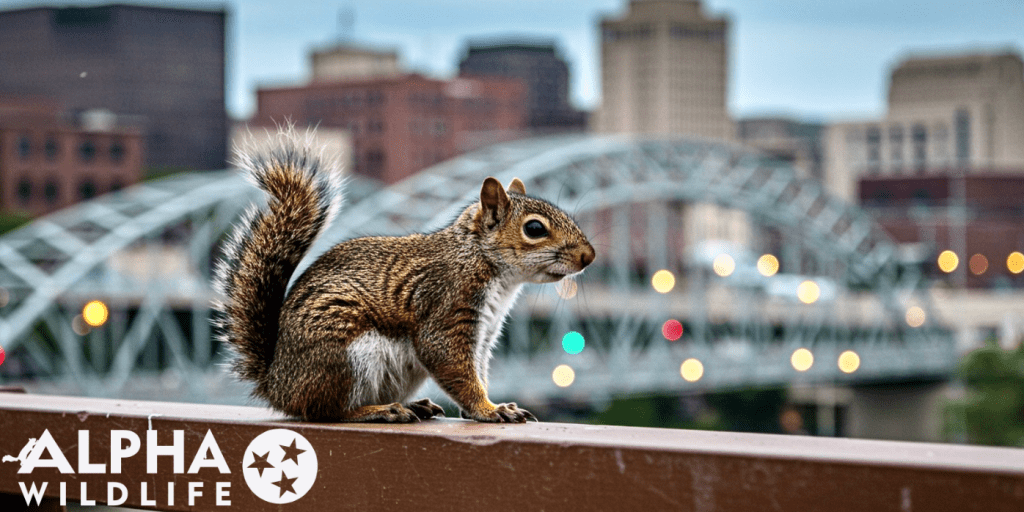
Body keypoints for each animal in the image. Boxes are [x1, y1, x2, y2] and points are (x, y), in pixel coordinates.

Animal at [214, 129, 596, 423]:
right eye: (534, 229)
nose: (589, 256)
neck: (483, 261)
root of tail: (277, 384)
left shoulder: (484, 333)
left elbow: (478, 369)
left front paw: (490, 405)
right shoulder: (446, 305)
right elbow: (451, 363)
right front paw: (489, 409)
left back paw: (414, 405)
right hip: (344, 357)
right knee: (325, 410)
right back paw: (378, 411)